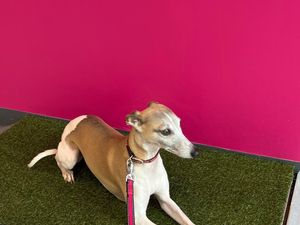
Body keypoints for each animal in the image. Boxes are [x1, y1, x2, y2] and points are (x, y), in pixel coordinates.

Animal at [27, 102, 197, 225]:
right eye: (165, 131)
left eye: (179, 124)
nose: (195, 152)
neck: (144, 161)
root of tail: (77, 120)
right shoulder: (137, 215)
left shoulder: (166, 199)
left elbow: (187, 220)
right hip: (71, 155)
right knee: (58, 159)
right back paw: (67, 173)